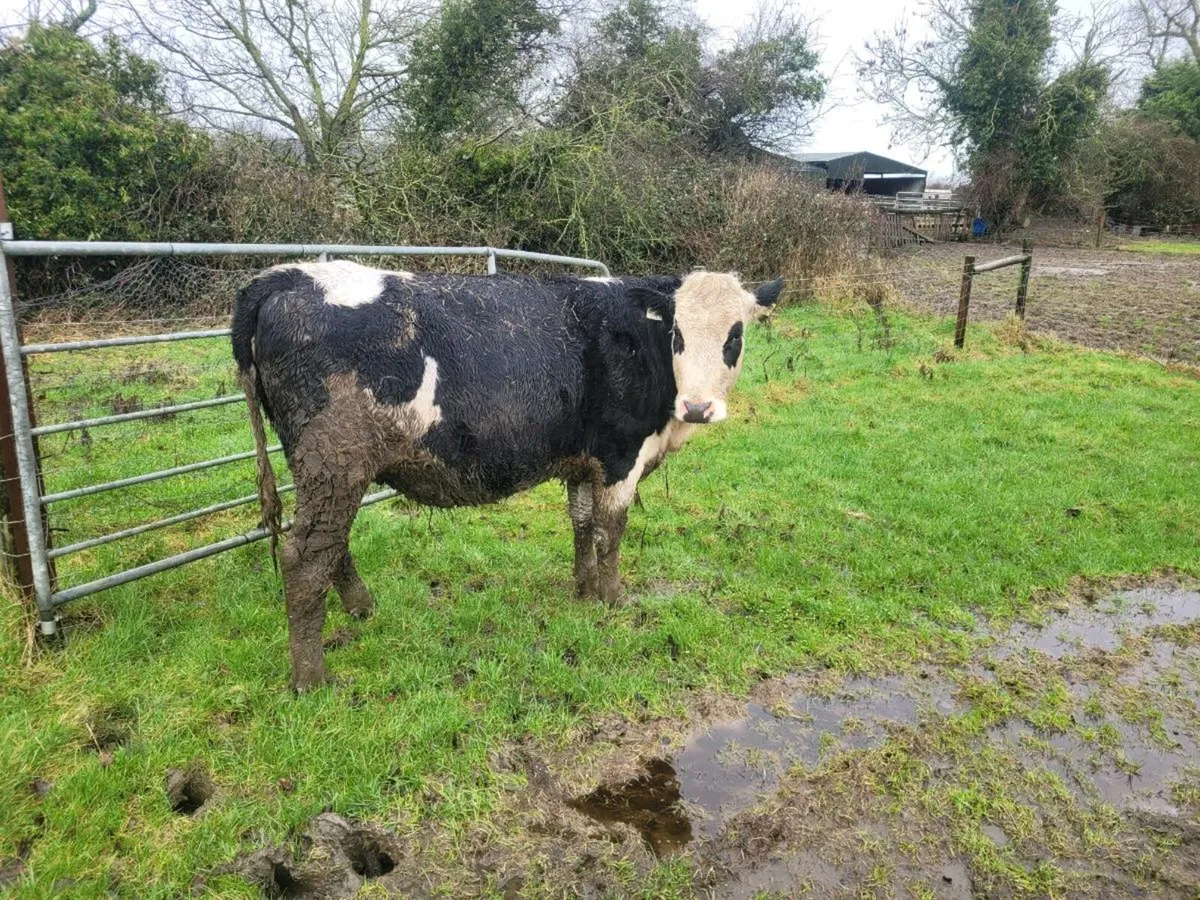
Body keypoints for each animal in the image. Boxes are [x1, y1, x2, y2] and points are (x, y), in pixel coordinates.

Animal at [232, 262, 783, 691]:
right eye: (678, 335)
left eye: (735, 335)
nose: (697, 407)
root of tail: (290, 275)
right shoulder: (620, 456)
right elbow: (611, 531)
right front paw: (611, 599)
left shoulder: (582, 460)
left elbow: (581, 523)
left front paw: (582, 588)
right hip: (334, 461)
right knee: (306, 557)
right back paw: (311, 678)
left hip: (325, 470)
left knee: (330, 545)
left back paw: (361, 607)